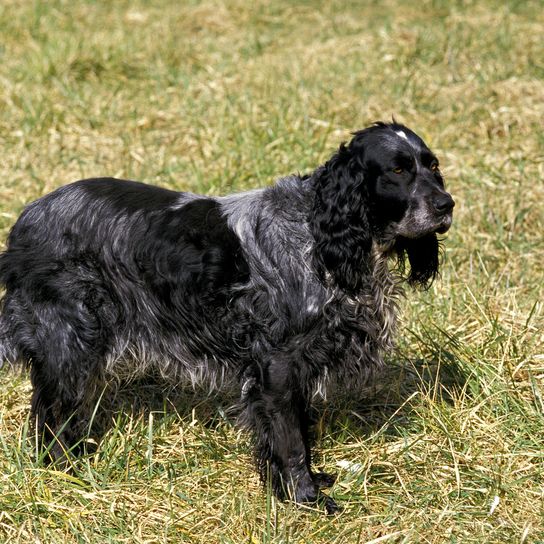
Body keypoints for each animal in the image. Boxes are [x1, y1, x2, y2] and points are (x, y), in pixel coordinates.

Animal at [0, 122, 452, 516]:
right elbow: (290, 440)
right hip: (71, 340)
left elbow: (294, 430)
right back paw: (67, 472)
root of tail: (23, 224)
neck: (318, 235)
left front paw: (297, 485)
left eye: (432, 166)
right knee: (53, 415)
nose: (447, 204)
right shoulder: (277, 364)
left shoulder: (295, 365)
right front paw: (305, 499)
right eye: (397, 170)